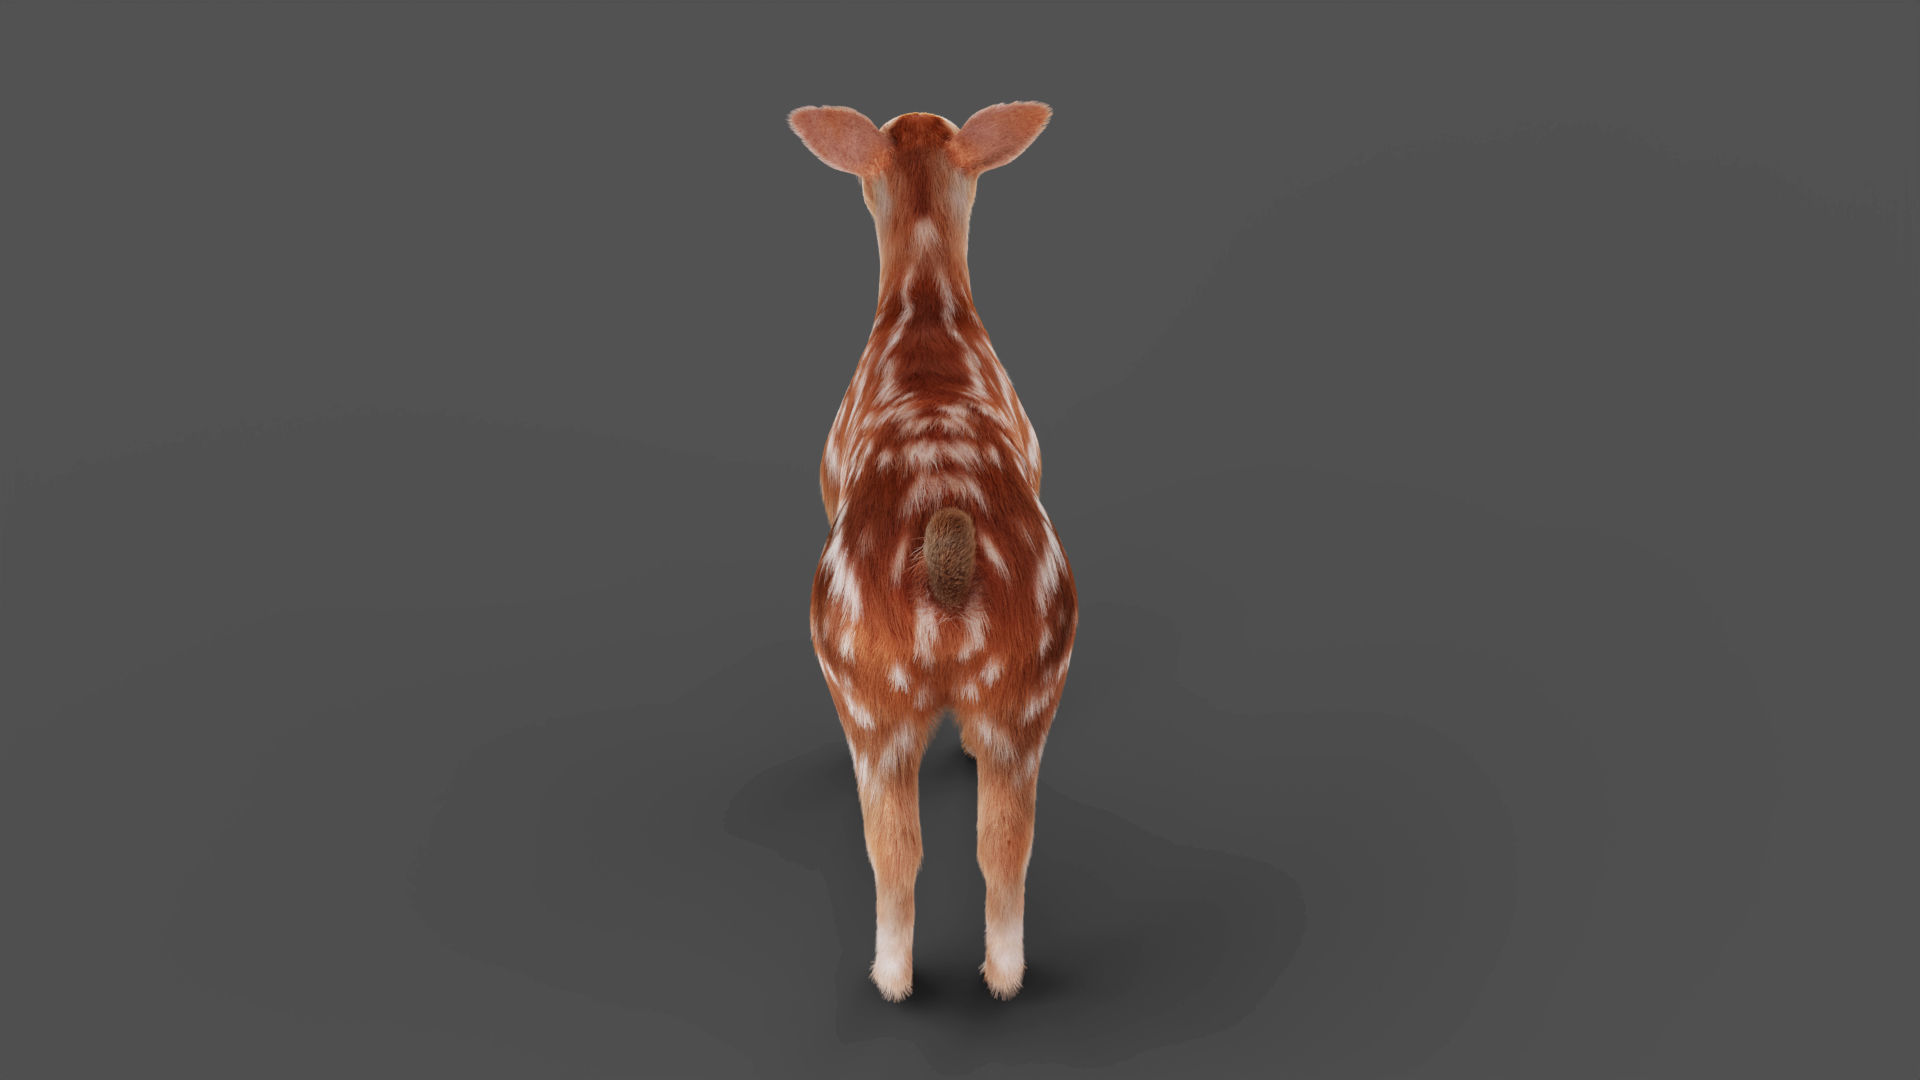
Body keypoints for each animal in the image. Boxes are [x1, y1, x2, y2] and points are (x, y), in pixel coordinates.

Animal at [787, 102, 1077, 1002]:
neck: (924, 315)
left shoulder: (826, 468)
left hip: (866, 686)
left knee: (897, 850)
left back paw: (891, 977)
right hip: (1029, 681)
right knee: (1004, 843)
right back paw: (1004, 976)